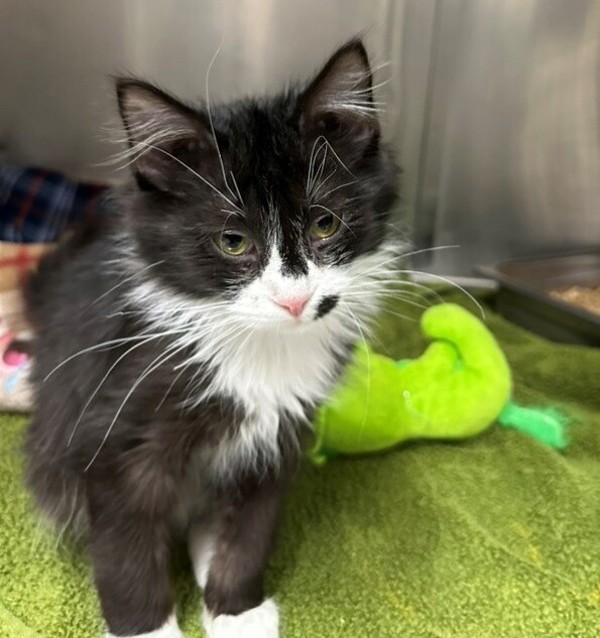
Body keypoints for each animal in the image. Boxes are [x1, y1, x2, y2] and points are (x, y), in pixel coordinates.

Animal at [24, 40, 398, 638]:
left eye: (325, 225)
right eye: (233, 241)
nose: (294, 300)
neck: (258, 348)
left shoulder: (277, 438)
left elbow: (246, 533)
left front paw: (237, 612)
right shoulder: (115, 434)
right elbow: (126, 549)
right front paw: (146, 629)